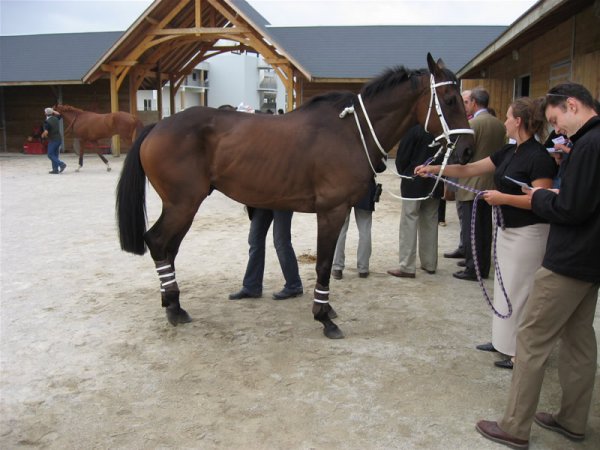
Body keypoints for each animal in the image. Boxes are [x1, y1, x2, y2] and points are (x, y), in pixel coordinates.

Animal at [116, 54, 474, 340]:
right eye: (449, 98)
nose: (469, 150)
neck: (351, 132)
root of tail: (157, 126)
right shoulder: (331, 211)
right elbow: (325, 264)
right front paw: (324, 317)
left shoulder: (340, 211)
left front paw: (326, 310)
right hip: (183, 205)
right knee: (159, 242)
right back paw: (173, 307)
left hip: (182, 207)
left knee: (168, 248)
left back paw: (174, 304)